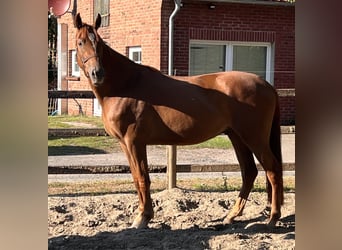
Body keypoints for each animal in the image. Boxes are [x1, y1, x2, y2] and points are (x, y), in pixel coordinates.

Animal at [74, 13, 284, 229]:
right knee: (249, 172)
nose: (97, 73)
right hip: (237, 137)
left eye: (99, 43)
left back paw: (273, 218)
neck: (126, 86)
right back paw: (231, 216)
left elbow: (142, 178)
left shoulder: (134, 142)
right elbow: (136, 178)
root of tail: (266, 84)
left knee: (273, 169)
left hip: (254, 138)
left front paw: (143, 217)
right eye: (80, 42)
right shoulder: (126, 144)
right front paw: (142, 215)